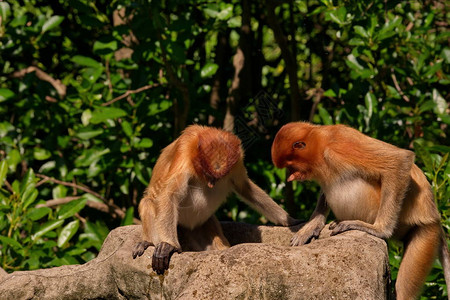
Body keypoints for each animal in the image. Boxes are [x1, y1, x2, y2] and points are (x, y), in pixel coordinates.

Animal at [131, 124, 298, 274]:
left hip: (203, 225)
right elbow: (169, 194)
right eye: (207, 174)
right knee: (148, 202)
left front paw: (291, 220)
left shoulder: (237, 160)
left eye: (217, 177)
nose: (211, 184)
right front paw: (168, 246)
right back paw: (146, 242)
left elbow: (244, 187)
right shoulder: (184, 149)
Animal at [270, 122, 450, 300]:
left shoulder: (341, 145)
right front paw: (309, 228)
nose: (290, 177)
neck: (320, 143)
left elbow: (400, 160)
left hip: (422, 232)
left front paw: (379, 230)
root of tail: (434, 217)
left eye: (290, 166)